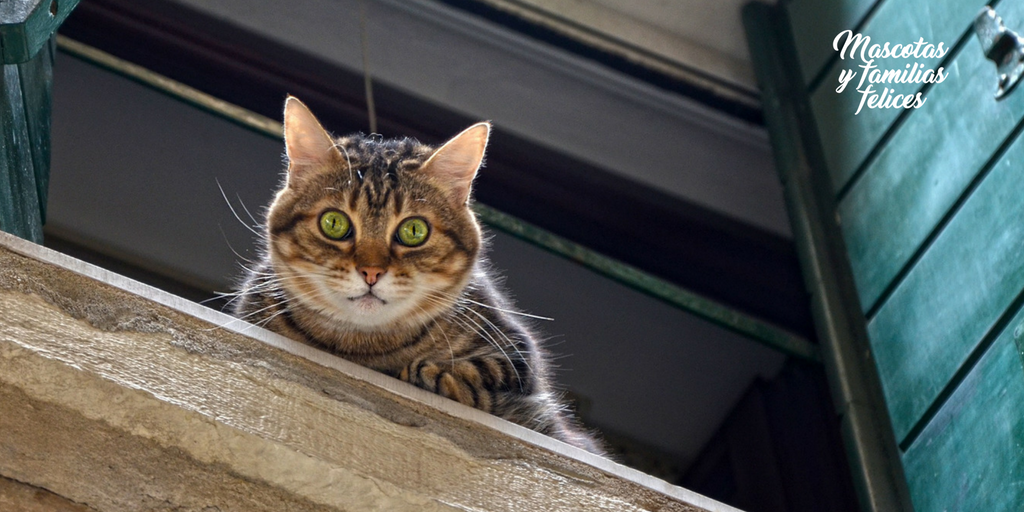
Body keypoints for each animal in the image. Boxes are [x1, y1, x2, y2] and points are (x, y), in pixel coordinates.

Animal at [232, 96, 602, 456]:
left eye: (413, 231)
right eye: (334, 223)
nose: (371, 271)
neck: (363, 350)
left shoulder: (516, 352)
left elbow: (482, 373)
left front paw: (432, 374)